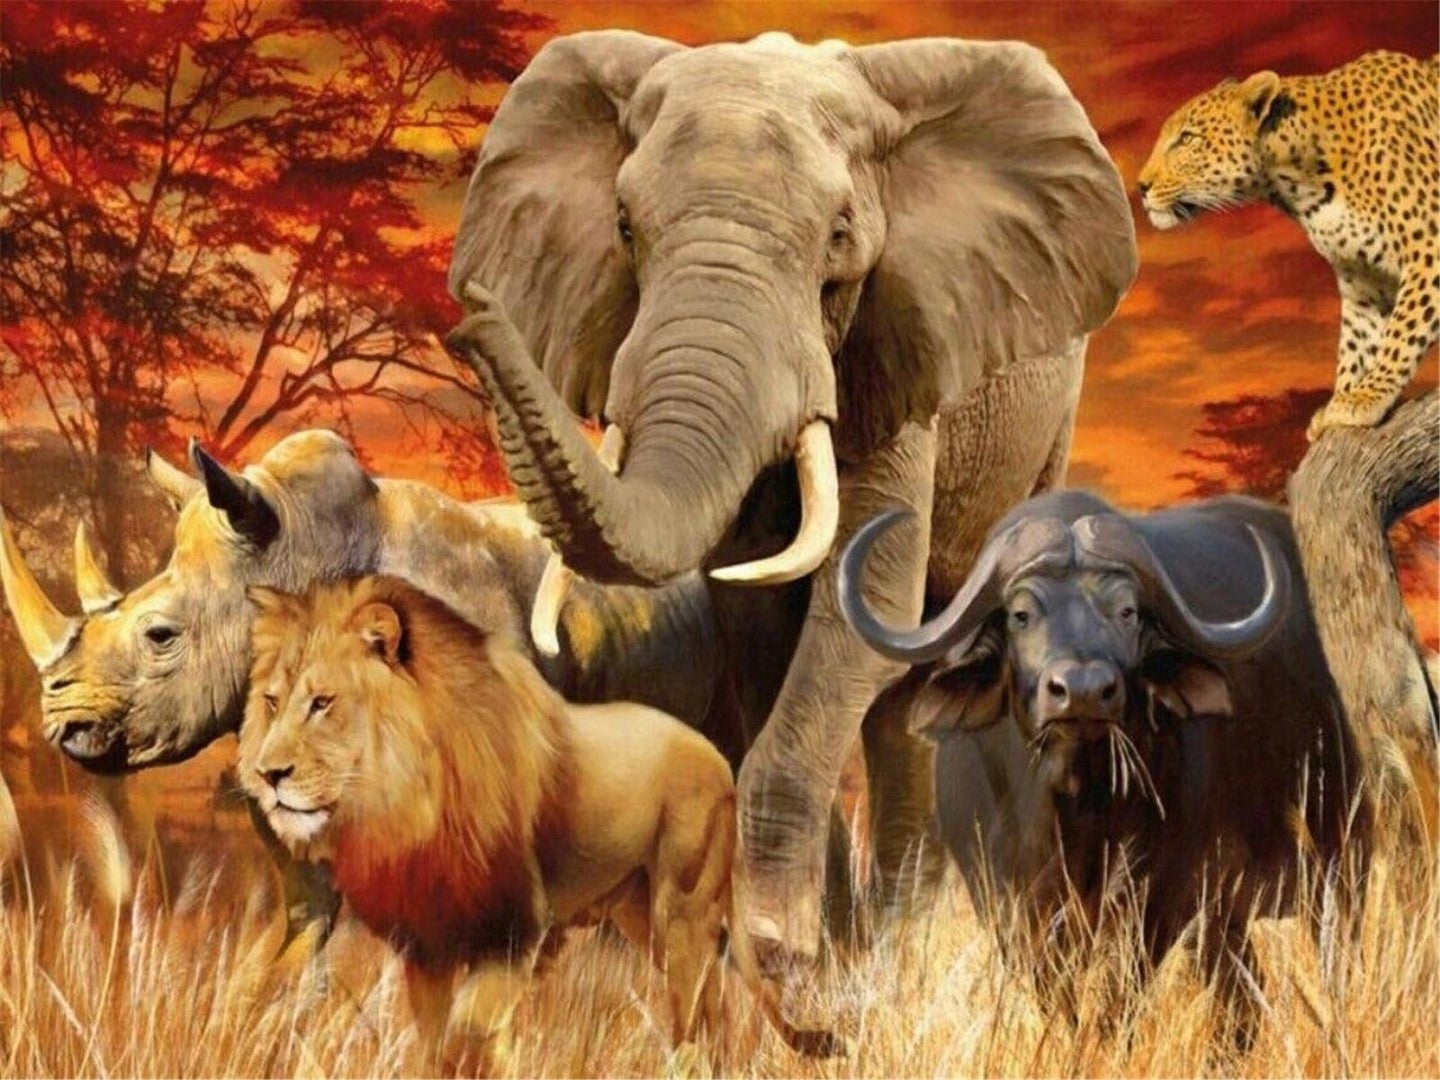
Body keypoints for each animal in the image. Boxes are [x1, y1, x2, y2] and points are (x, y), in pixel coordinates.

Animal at [445, 30, 1138, 967]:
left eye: (840, 234)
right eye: (624, 228)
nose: (472, 319)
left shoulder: (898, 350)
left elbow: (861, 617)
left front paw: (777, 950)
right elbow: (765, 626)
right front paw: (807, 953)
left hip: (1046, 427)